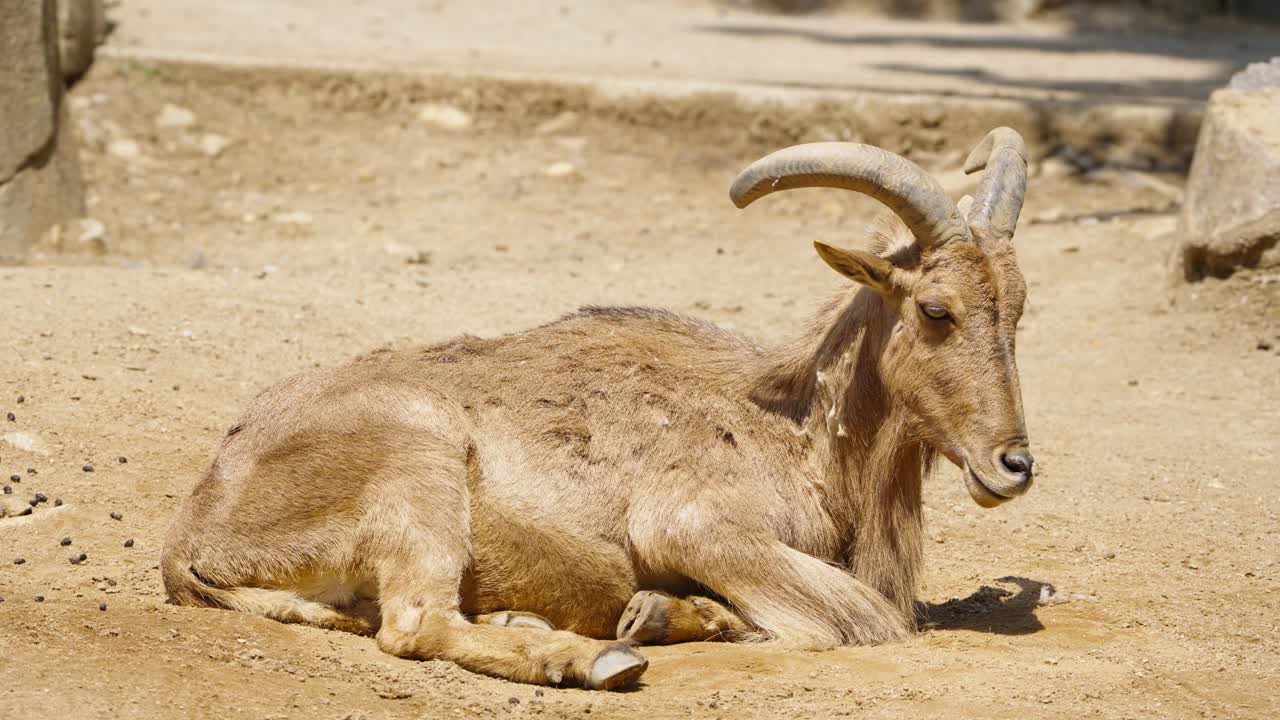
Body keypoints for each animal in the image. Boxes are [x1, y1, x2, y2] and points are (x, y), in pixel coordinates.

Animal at [161, 128, 1034, 691]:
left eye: (1020, 309)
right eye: (935, 309)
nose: (1014, 464)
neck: (796, 432)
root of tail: (195, 537)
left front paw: (663, 612)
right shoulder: (697, 526)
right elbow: (859, 619)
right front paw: (664, 617)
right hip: (420, 456)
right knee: (414, 625)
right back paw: (586, 659)